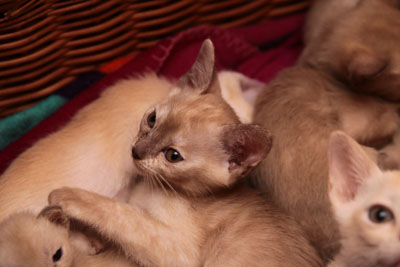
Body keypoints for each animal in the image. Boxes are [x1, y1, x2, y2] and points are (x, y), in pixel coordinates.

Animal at [47, 39, 322, 267]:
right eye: (152, 119)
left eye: (173, 156)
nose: (136, 152)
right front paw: (89, 239)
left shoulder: (176, 250)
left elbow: (119, 214)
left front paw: (64, 196)